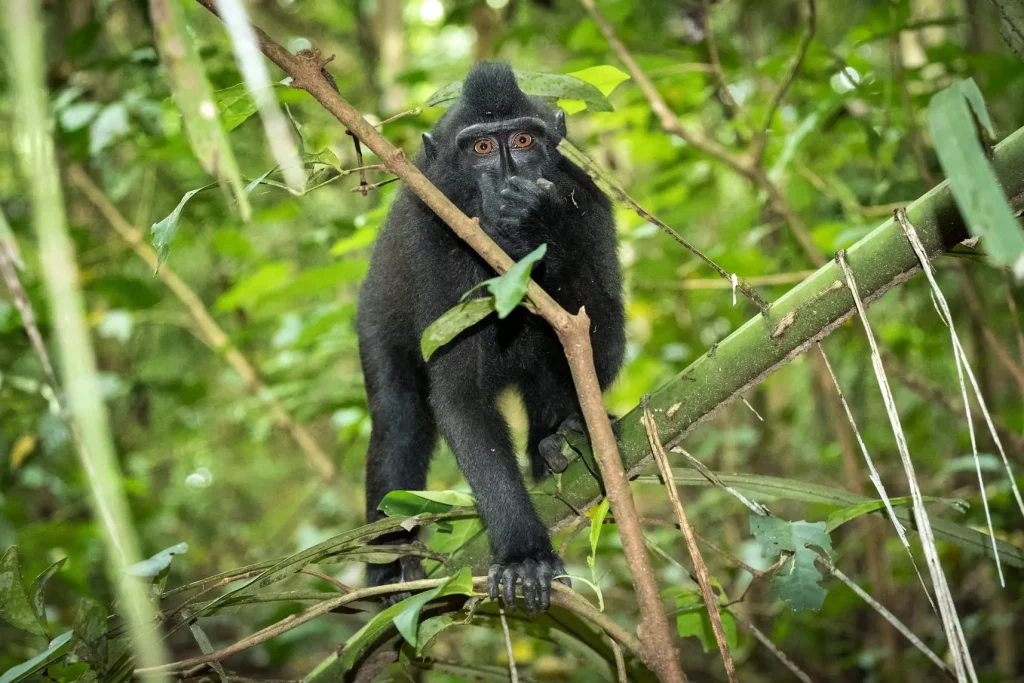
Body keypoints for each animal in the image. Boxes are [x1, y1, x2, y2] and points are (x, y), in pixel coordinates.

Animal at [357, 62, 625, 615]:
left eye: (523, 140)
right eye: (481, 148)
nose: (508, 179)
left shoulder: (587, 203)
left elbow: (599, 344)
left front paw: (540, 222)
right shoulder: (437, 236)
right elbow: (460, 398)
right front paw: (525, 555)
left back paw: (558, 441)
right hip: (374, 323)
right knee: (399, 417)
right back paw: (390, 571)